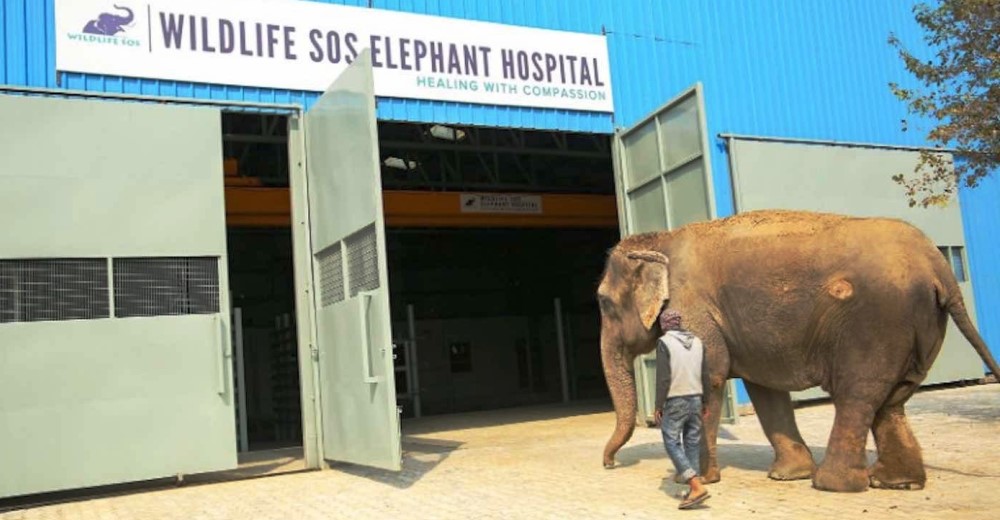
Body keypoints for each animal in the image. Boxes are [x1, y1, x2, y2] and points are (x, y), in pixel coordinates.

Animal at [596, 208, 996, 492]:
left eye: (602, 302)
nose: (609, 464)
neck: (660, 239)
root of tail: (940, 268)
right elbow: (765, 389)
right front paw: (787, 476)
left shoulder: (694, 309)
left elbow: (711, 376)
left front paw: (697, 480)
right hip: (918, 325)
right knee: (893, 399)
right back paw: (896, 482)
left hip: (876, 323)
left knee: (856, 395)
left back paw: (833, 484)